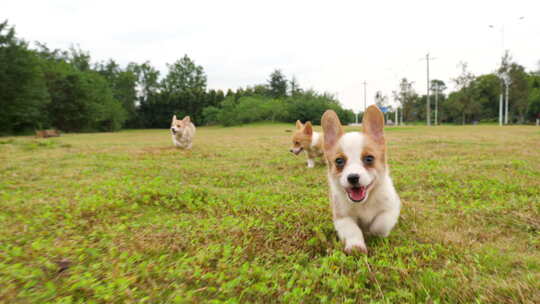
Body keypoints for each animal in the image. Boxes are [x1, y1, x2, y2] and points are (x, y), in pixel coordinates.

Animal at [320, 105, 400, 253]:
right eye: (339, 161)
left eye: (369, 159)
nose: (353, 177)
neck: (364, 202)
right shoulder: (342, 217)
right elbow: (352, 230)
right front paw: (356, 246)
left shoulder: (391, 209)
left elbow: (380, 225)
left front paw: (372, 232)